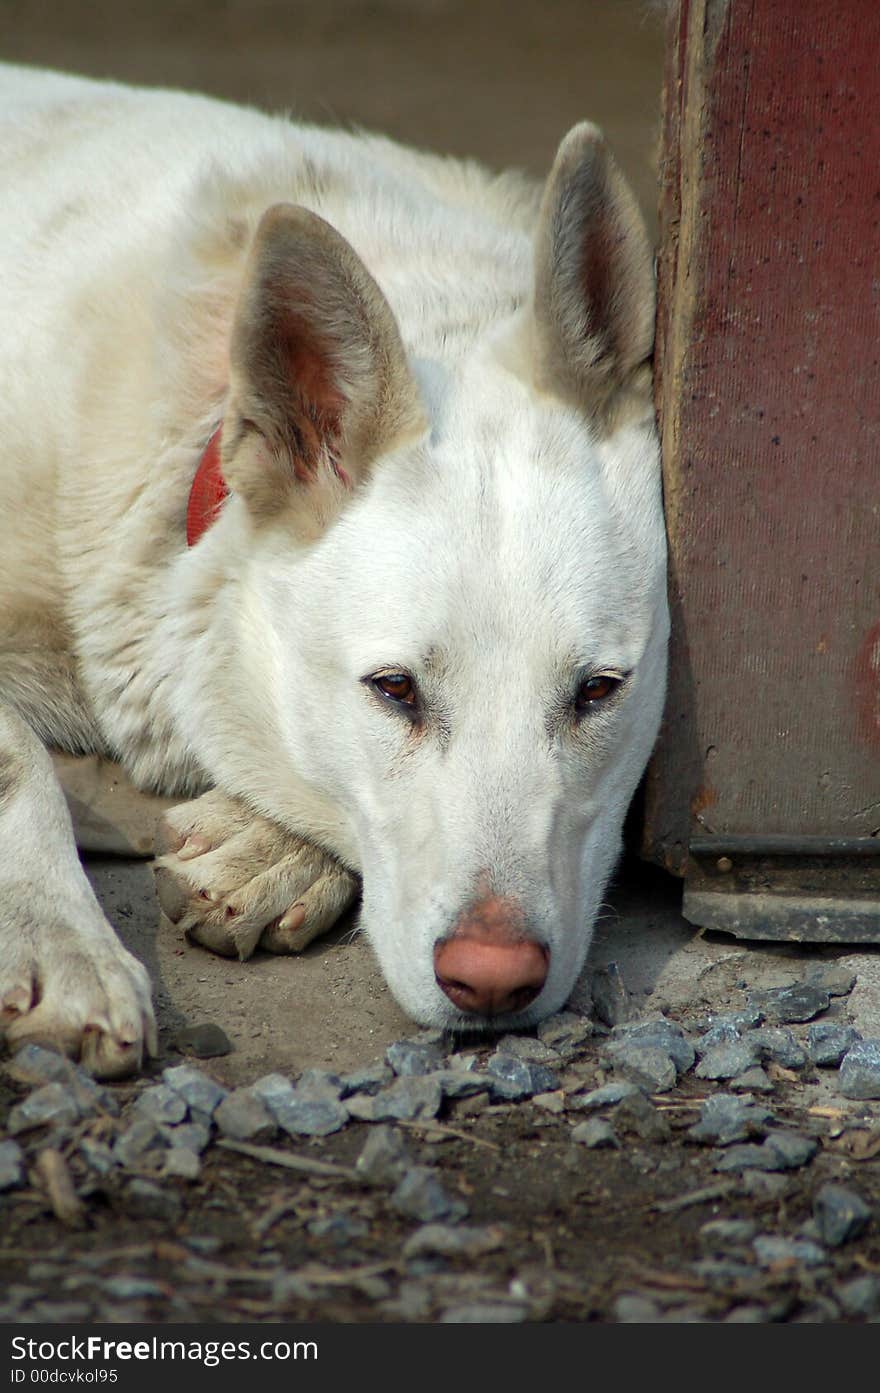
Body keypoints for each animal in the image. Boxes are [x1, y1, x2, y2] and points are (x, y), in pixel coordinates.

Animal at [0, 65, 665, 1075]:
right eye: (394, 690)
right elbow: (20, 755)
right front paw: (58, 943)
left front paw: (268, 848)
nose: (494, 980)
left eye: (597, 691)